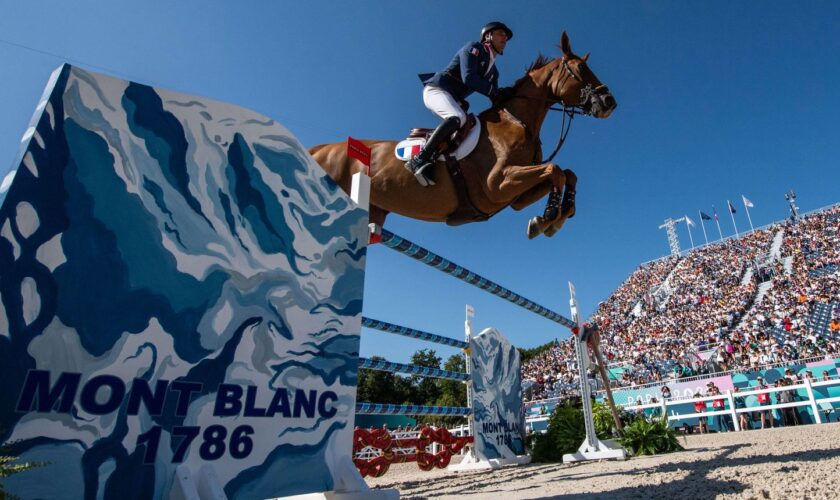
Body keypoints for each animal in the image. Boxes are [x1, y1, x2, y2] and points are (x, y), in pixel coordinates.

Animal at [312, 32, 612, 239]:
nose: (610, 102)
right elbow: (555, 170)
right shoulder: (498, 183)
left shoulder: (513, 197)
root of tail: (321, 149)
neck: (518, 121)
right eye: (580, 70)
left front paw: (552, 217)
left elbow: (567, 173)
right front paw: (551, 216)